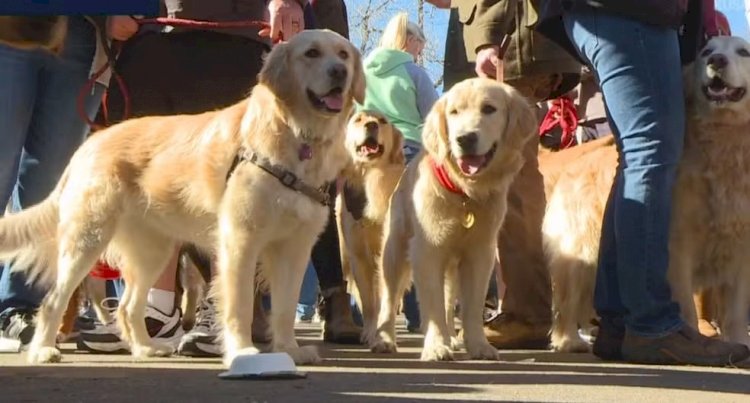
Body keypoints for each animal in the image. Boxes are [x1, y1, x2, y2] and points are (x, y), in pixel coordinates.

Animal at [0, 30, 364, 368]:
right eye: (311, 53)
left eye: (343, 54)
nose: (339, 73)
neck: (296, 133)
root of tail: (89, 143)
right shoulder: (240, 240)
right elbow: (240, 305)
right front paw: (242, 352)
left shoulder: (294, 248)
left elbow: (285, 307)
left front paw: (289, 349)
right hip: (87, 241)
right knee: (54, 300)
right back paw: (43, 350)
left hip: (153, 251)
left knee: (128, 307)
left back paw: (145, 349)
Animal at [372, 77, 536, 362]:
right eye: (454, 112)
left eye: (489, 109)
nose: (465, 139)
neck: (463, 193)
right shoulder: (427, 251)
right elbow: (433, 305)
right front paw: (436, 346)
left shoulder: (480, 253)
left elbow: (471, 307)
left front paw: (478, 345)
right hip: (395, 251)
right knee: (389, 299)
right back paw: (384, 339)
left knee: (450, 302)